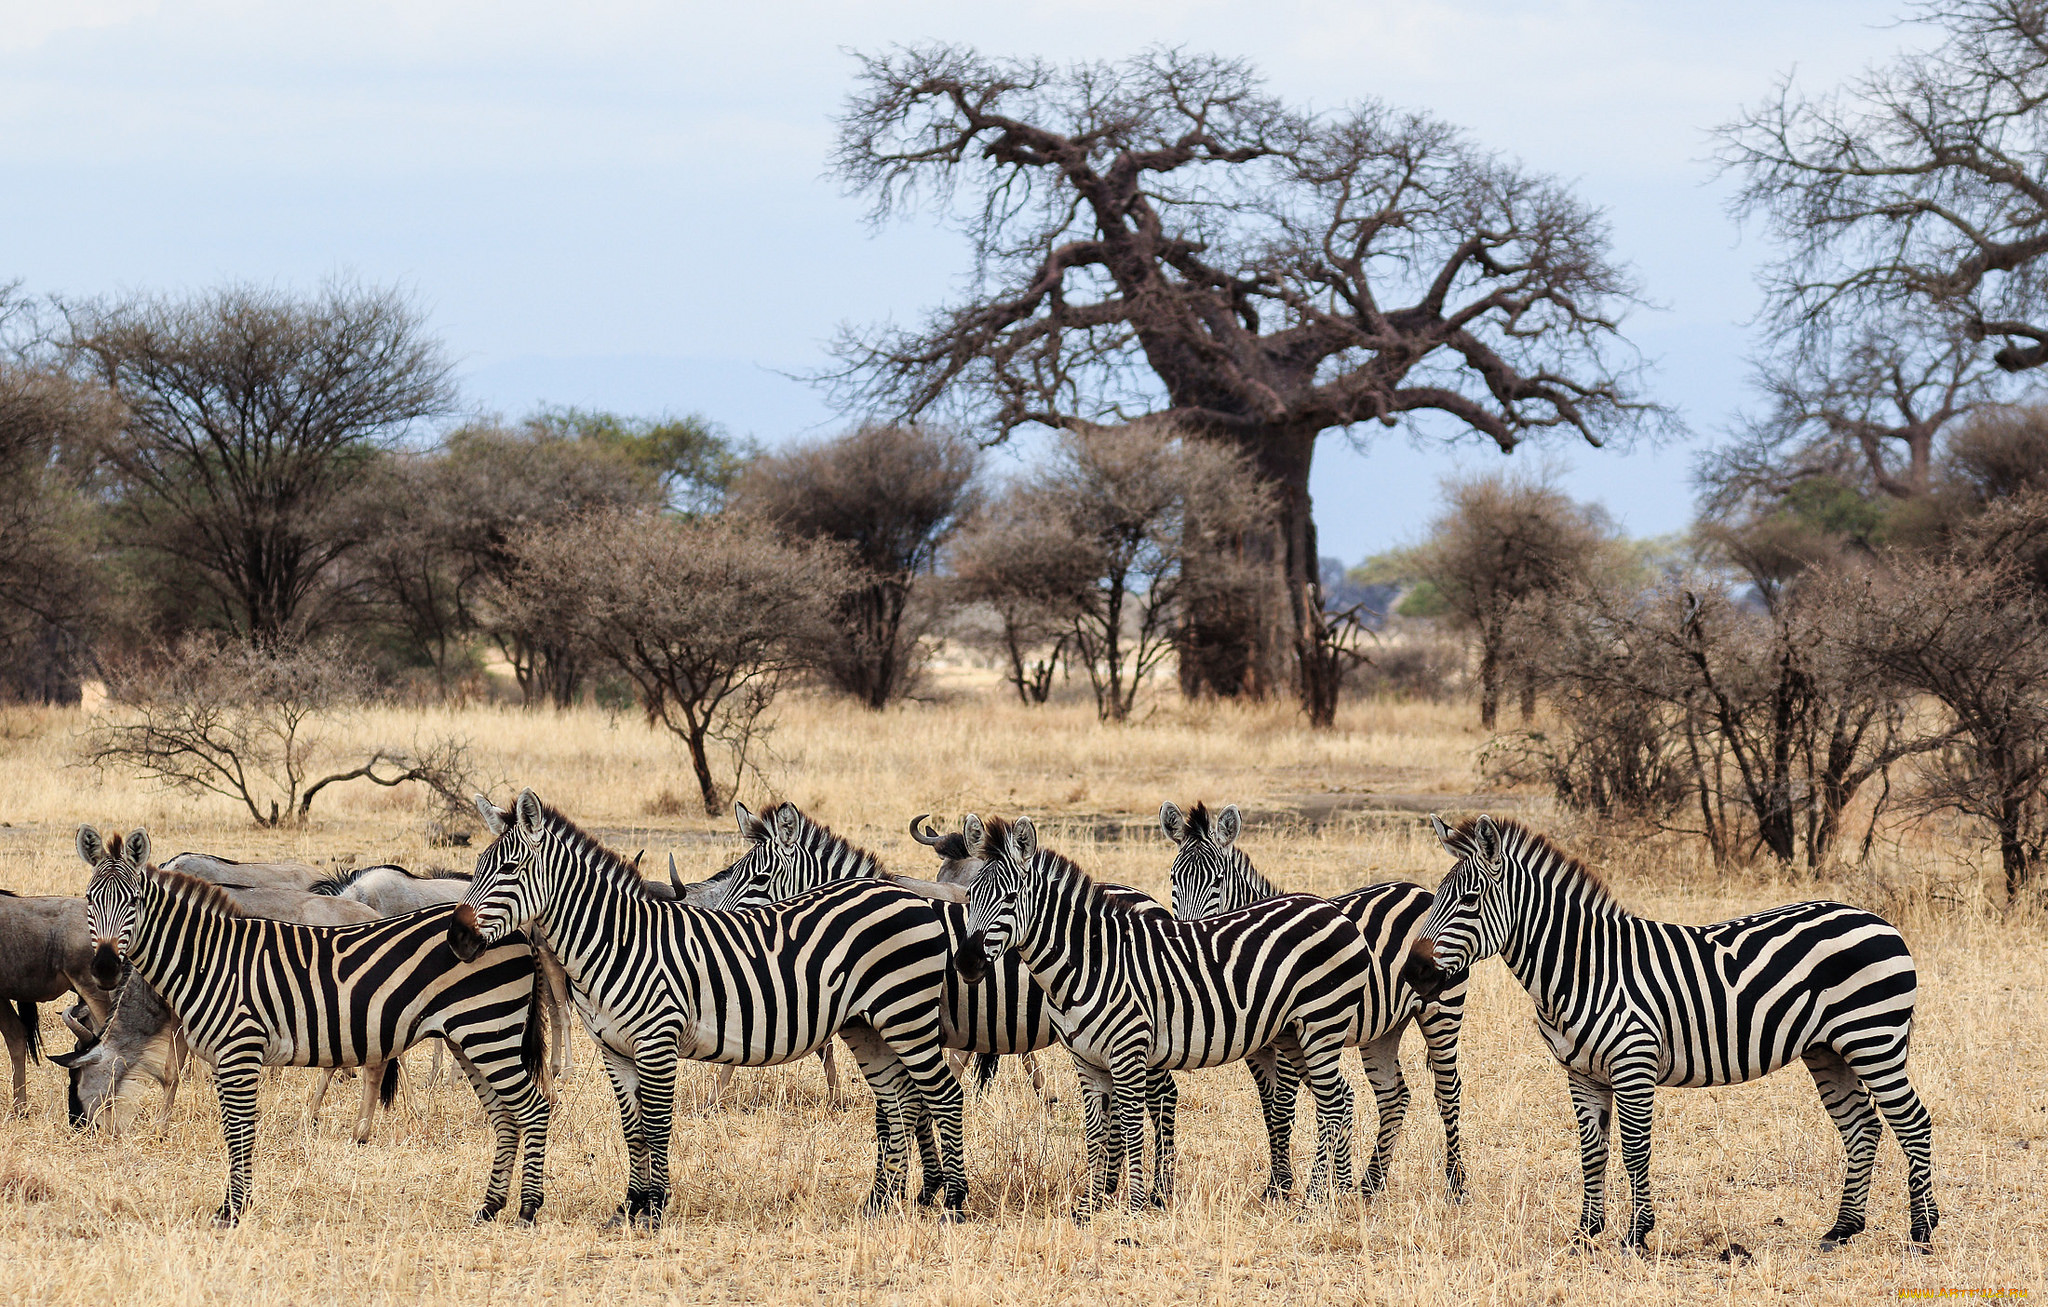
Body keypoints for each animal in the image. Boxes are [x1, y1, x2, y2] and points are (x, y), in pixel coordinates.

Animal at [74, 827, 552, 1229]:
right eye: (89, 900)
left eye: (134, 901)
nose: (105, 967)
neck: (207, 958)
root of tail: (516, 934)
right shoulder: (224, 1057)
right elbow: (225, 1121)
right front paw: (232, 1204)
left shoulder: (239, 1051)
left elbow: (238, 1130)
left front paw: (234, 1210)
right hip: (468, 1039)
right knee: (504, 1115)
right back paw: (489, 1207)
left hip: (488, 1032)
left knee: (534, 1107)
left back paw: (528, 1210)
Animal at [444, 786, 970, 1229]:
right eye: (477, 867)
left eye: (510, 870)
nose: (457, 939)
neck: (616, 941)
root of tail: (905, 893)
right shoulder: (614, 1050)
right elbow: (633, 1129)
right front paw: (630, 1208)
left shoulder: (657, 1040)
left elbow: (657, 1125)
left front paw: (654, 1210)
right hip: (869, 1026)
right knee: (901, 1101)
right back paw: (881, 1203)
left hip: (906, 1015)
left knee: (943, 1094)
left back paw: (954, 1204)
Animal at [958, 815, 1376, 1220]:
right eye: (969, 896)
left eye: (1011, 898)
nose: (966, 962)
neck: (1089, 962)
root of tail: (1332, 910)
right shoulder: (1087, 1062)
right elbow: (1095, 1132)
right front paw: (1090, 1205)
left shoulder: (1128, 1053)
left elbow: (1130, 1127)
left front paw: (1135, 1206)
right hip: (1293, 1034)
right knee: (1342, 1096)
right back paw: (1337, 1192)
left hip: (1321, 1024)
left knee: (1331, 1103)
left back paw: (1314, 1199)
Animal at [1155, 803, 1474, 1204]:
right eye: (1173, 879)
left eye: (1218, 880)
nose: (1189, 934)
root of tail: (1418, 889)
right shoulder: (1258, 1047)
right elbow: (1269, 1108)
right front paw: (1286, 1182)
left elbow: (1283, 1107)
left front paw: (1284, 1185)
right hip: (1382, 1028)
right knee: (1394, 1096)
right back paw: (1370, 1184)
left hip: (1442, 1010)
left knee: (1449, 1089)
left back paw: (1456, 1185)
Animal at [1409, 815, 1933, 1253]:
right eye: (1435, 898)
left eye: (1470, 900)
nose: (1415, 970)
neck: (1582, 969)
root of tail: (1881, 921)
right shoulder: (1581, 1074)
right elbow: (1592, 1153)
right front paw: (1586, 1233)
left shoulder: (1633, 1063)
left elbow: (1635, 1151)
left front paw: (1636, 1236)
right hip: (1829, 1050)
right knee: (1862, 1126)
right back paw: (1842, 1229)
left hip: (1875, 1040)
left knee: (1913, 1122)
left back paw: (1922, 1233)